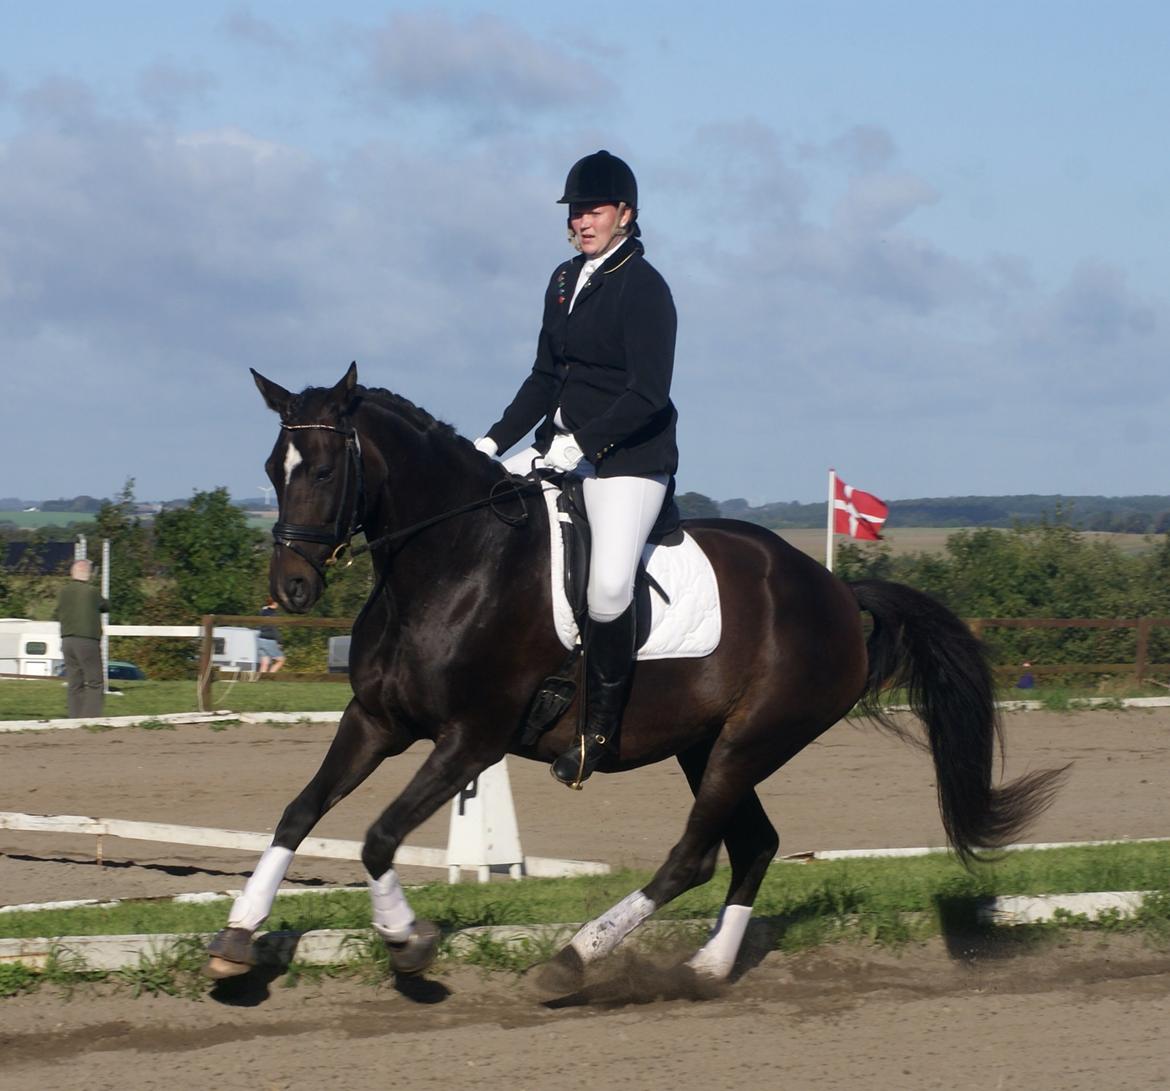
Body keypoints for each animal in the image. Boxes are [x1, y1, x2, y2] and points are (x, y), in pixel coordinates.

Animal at [205, 367, 1067, 987]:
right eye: (272, 468)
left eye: (322, 467)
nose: (291, 588)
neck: (449, 560)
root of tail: (835, 590)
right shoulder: (377, 720)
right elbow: (299, 812)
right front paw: (239, 934)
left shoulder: (470, 739)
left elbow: (379, 835)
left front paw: (406, 938)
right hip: (705, 744)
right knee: (752, 845)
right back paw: (708, 966)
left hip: (750, 741)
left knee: (694, 855)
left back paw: (573, 959)